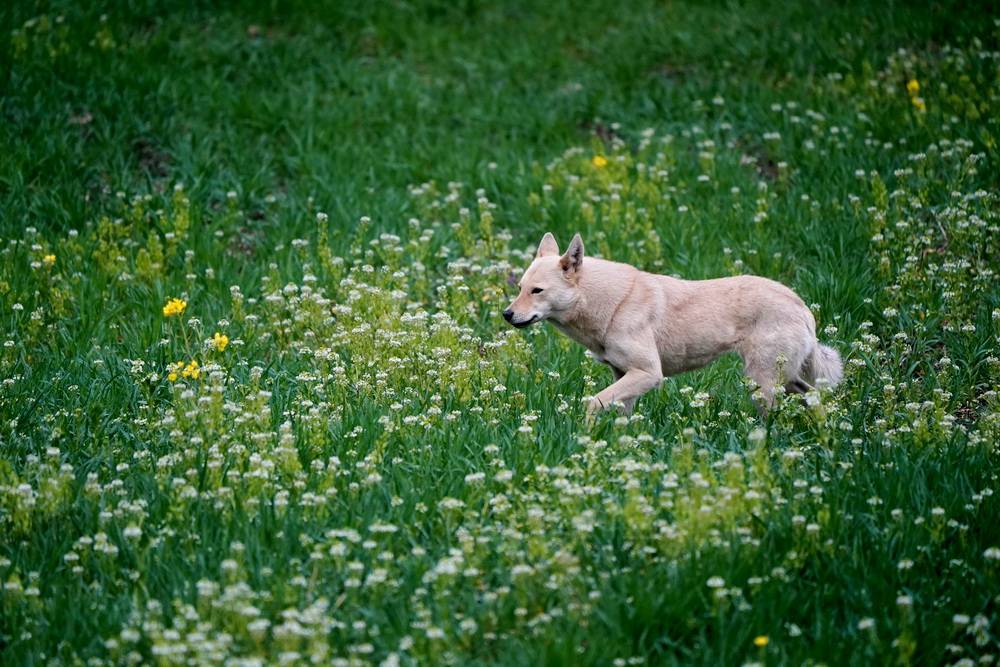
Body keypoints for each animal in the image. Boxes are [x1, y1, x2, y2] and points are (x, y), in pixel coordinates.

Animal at [504, 232, 840, 414]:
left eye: (537, 291)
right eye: (520, 288)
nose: (506, 314)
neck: (613, 304)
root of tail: (802, 307)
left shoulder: (649, 374)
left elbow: (593, 404)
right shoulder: (624, 376)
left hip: (762, 382)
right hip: (786, 379)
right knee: (815, 399)